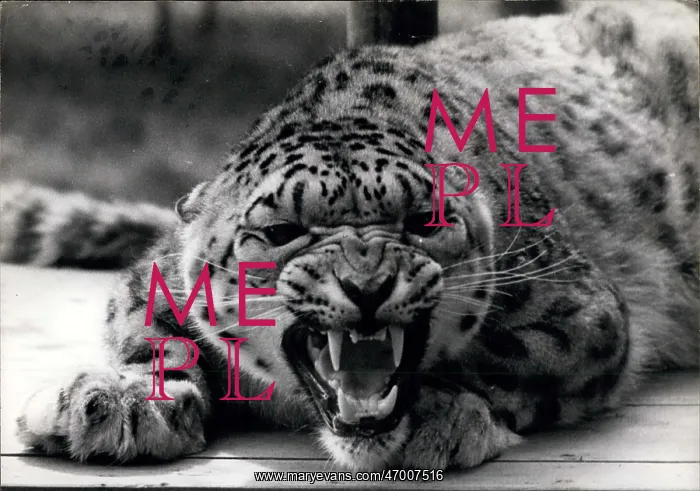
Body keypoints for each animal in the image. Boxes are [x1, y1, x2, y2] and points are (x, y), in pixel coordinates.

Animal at [2, 1, 698, 472]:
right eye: (281, 230)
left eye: (424, 223)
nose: (368, 286)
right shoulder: (159, 271)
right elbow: (146, 329)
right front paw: (115, 402)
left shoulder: (585, 310)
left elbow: (510, 355)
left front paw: (443, 417)